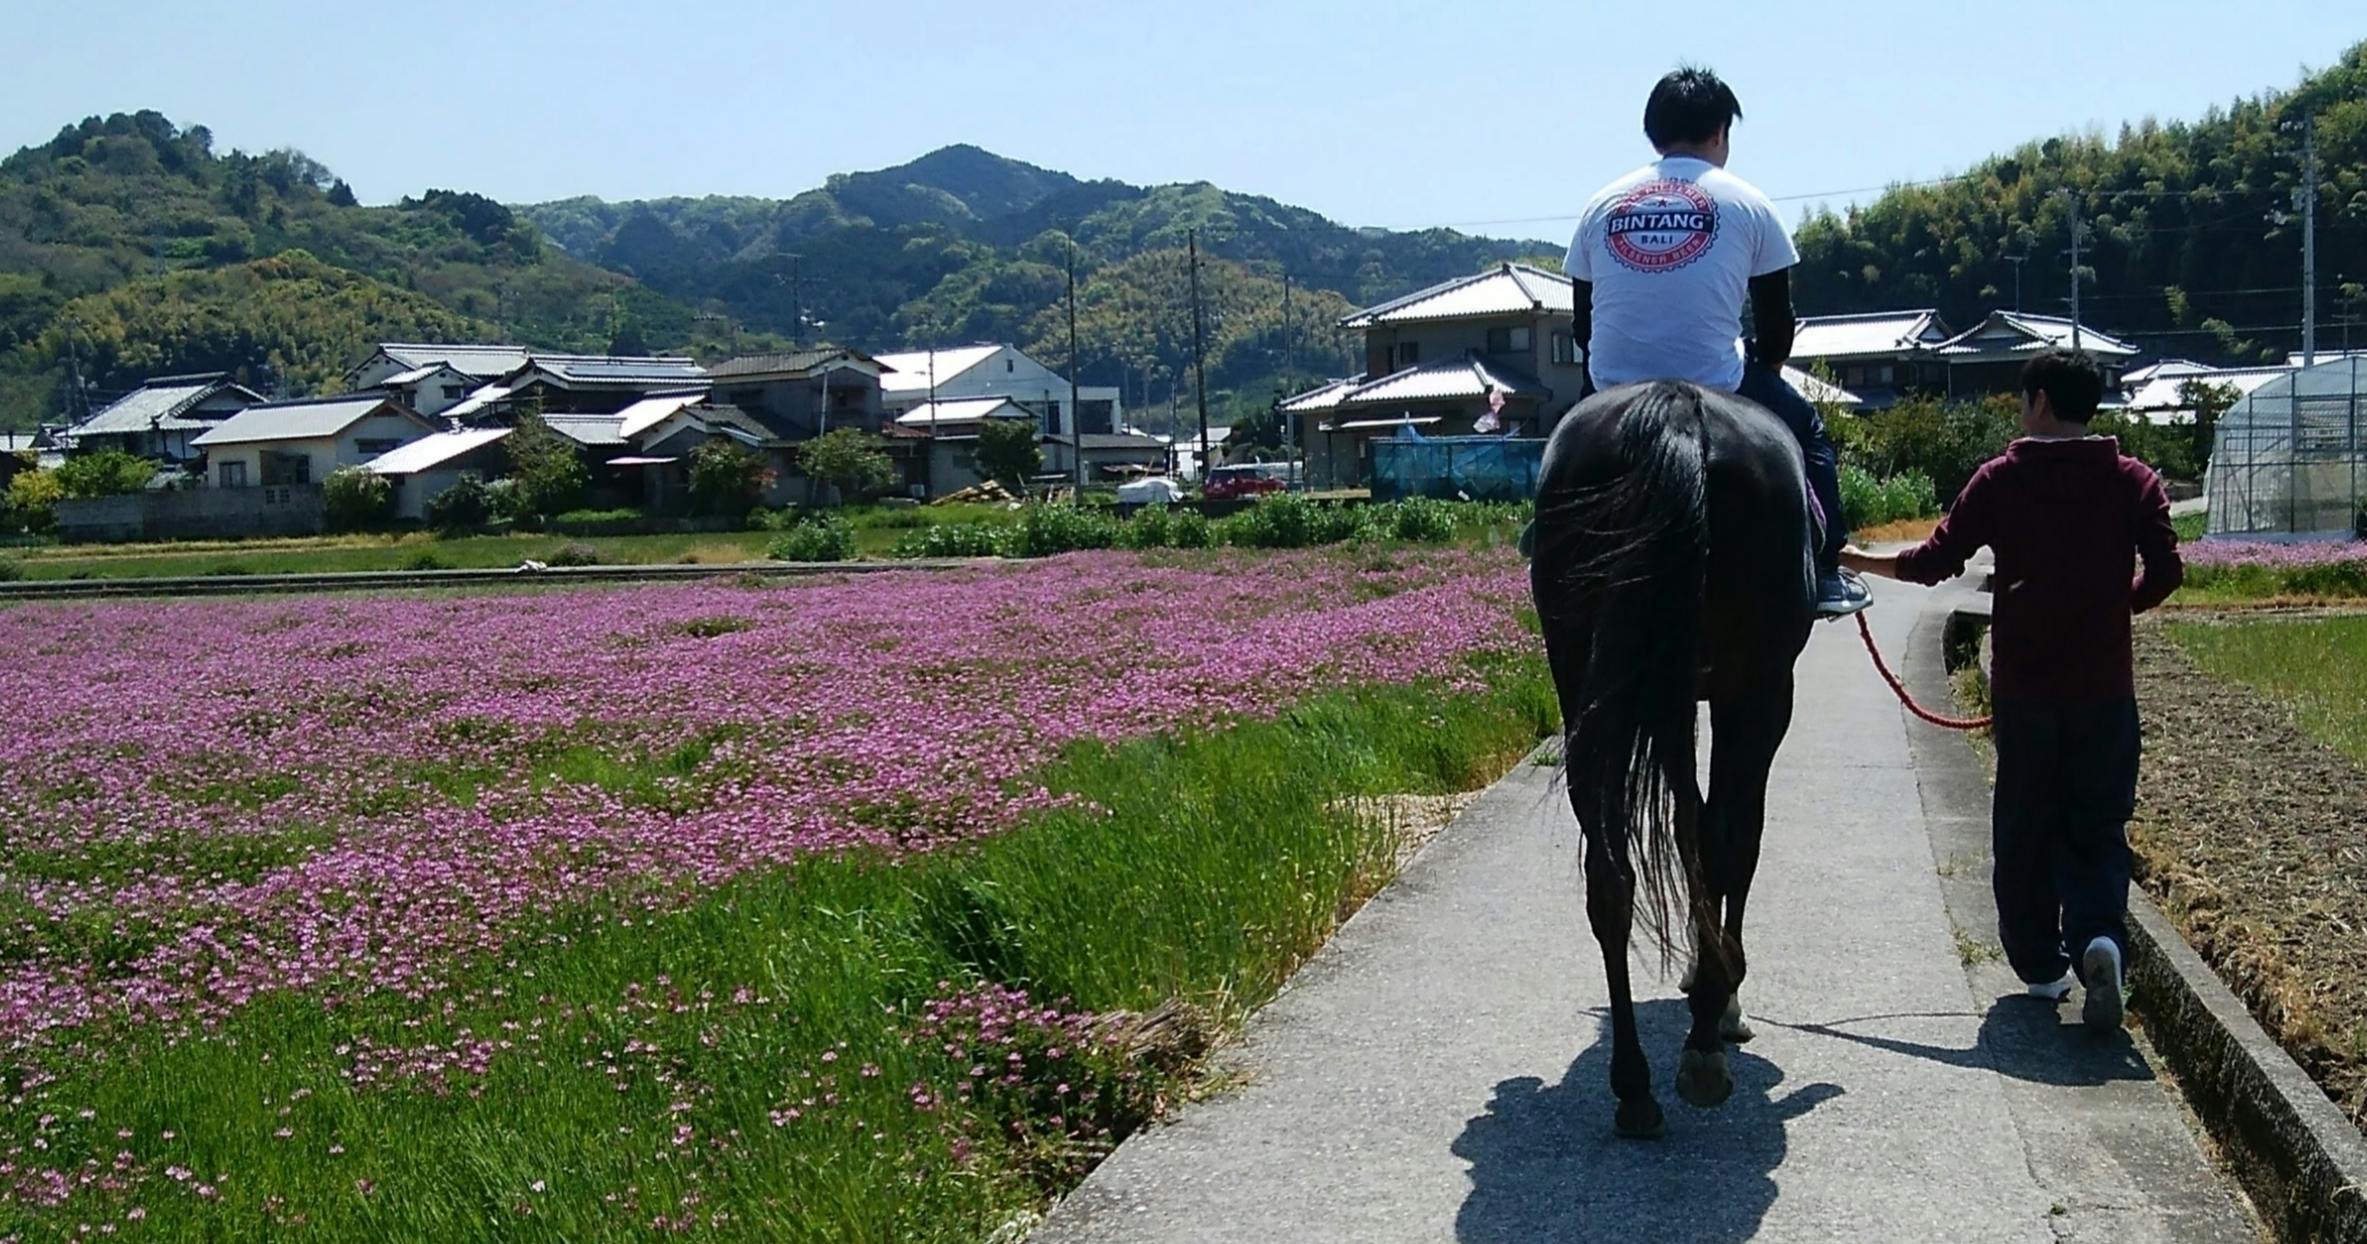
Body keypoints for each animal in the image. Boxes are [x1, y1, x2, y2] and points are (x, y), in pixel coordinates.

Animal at [1533, 380, 1808, 1139]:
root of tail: (1679, 408)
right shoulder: (1755, 696)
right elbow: (1722, 836)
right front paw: (1718, 991)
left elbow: (1687, 825)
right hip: (1758, 688)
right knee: (1731, 837)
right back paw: (1705, 1038)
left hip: (1586, 675)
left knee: (1611, 873)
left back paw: (1633, 1085)